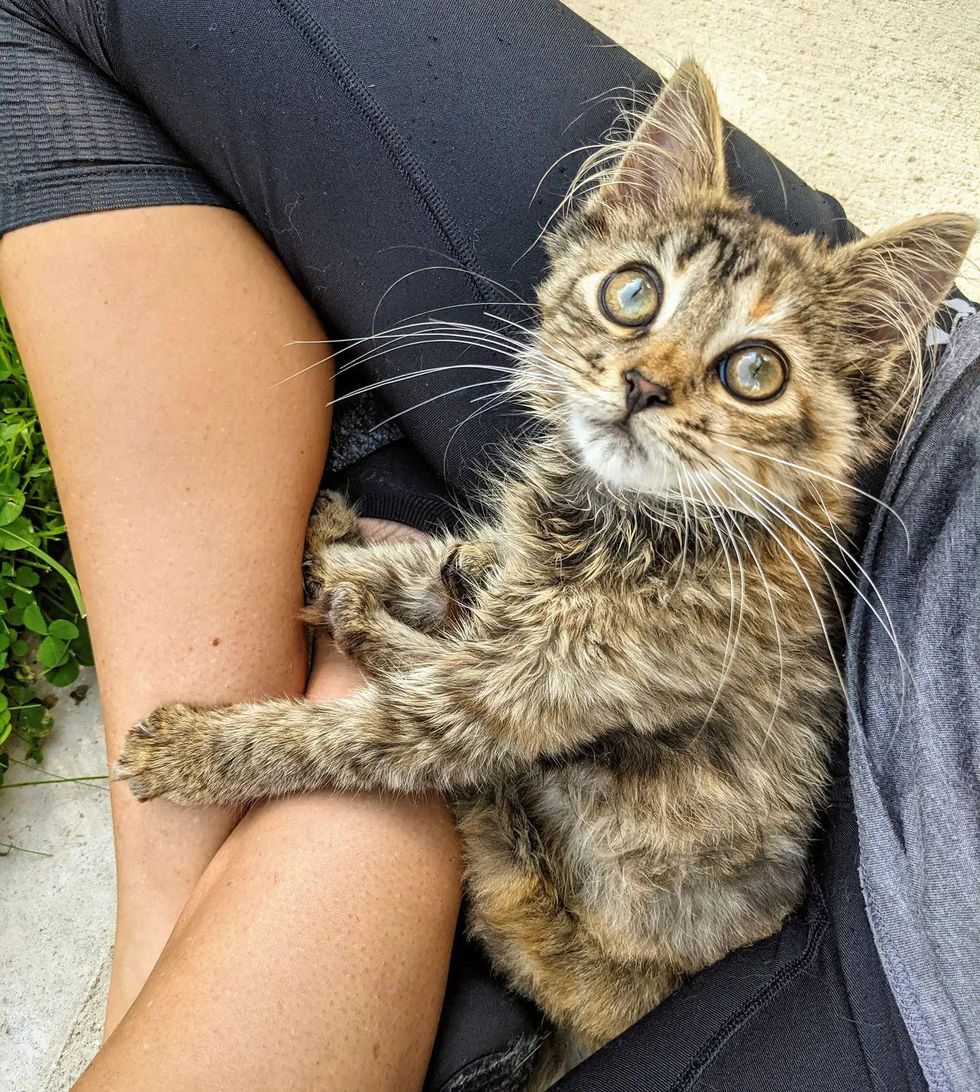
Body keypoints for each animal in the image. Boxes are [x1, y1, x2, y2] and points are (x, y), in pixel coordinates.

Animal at [114, 63, 970, 1078]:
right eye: (633, 294)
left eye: (755, 371)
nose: (643, 384)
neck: (616, 522)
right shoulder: (506, 572)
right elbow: (438, 559)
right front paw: (347, 551)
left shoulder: (502, 703)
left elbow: (339, 733)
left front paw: (198, 749)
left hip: (547, 898)